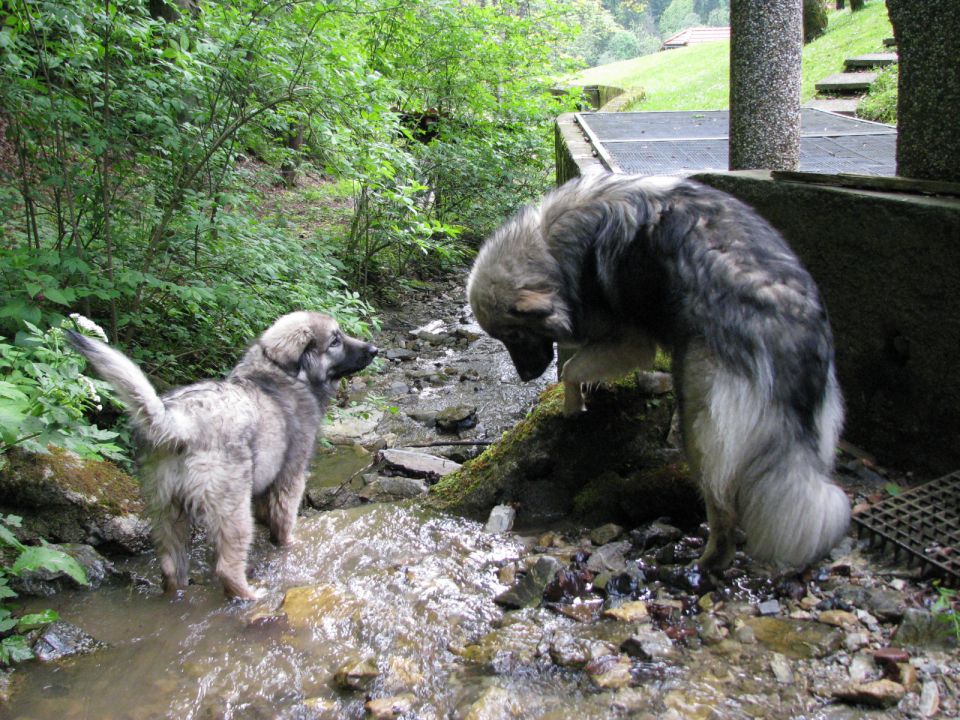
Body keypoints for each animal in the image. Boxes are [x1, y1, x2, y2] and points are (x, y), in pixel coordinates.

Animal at [65, 312, 376, 600]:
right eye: (335, 341)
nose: (374, 349)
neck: (282, 374)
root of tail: (180, 422)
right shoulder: (290, 477)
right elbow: (284, 522)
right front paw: (291, 544)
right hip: (232, 506)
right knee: (227, 567)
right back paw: (250, 595)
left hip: (165, 508)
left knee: (170, 566)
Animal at [468, 172, 852, 572]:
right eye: (502, 339)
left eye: (514, 335)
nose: (527, 377)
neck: (550, 243)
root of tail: (787, 330)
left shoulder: (629, 339)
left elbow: (572, 368)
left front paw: (573, 406)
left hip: (700, 415)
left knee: (721, 506)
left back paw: (703, 562)